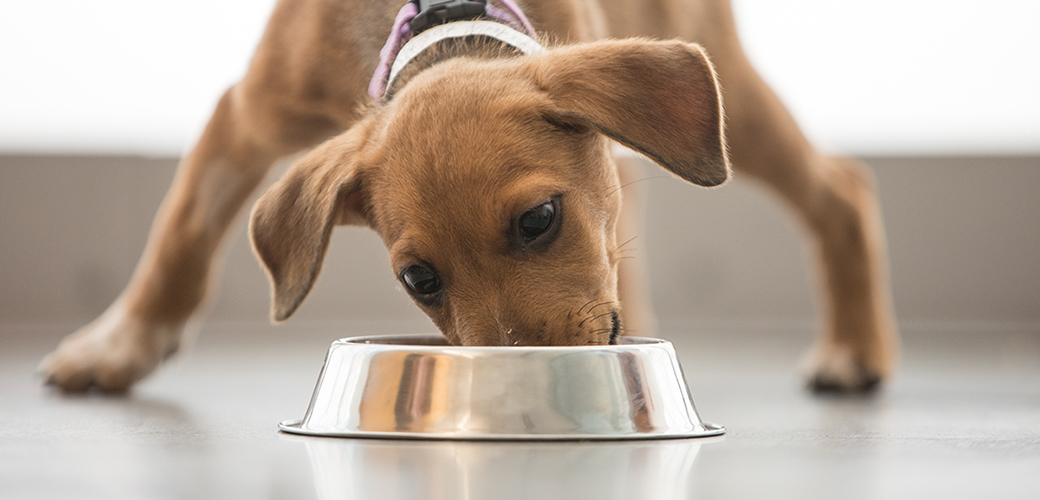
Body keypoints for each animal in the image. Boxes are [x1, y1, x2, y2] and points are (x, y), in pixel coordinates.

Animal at [40, 0, 898, 390]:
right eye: (418, 279)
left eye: (539, 219)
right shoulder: (245, 116)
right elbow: (182, 233)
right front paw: (120, 344)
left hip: (725, 92)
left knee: (840, 187)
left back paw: (855, 348)